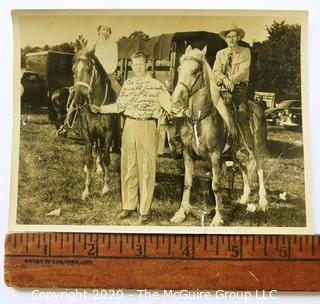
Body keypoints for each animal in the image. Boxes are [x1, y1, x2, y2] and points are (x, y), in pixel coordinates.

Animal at [72, 48, 117, 201]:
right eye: (73, 70)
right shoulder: (86, 133)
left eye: (89, 69)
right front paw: (87, 190)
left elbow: (106, 158)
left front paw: (106, 187)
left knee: (100, 150)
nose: (78, 98)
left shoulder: (108, 133)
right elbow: (89, 158)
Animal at [170, 45, 268, 226]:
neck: (199, 119)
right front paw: (180, 213)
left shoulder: (216, 156)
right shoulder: (187, 153)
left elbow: (216, 186)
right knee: (244, 170)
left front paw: (218, 218)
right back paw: (244, 199)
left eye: (195, 71)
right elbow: (187, 182)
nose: (176, 102)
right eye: (179, 69)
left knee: (259, 170)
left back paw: (263, 202)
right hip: (236, 154)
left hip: (258, 149)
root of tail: (259, 107)